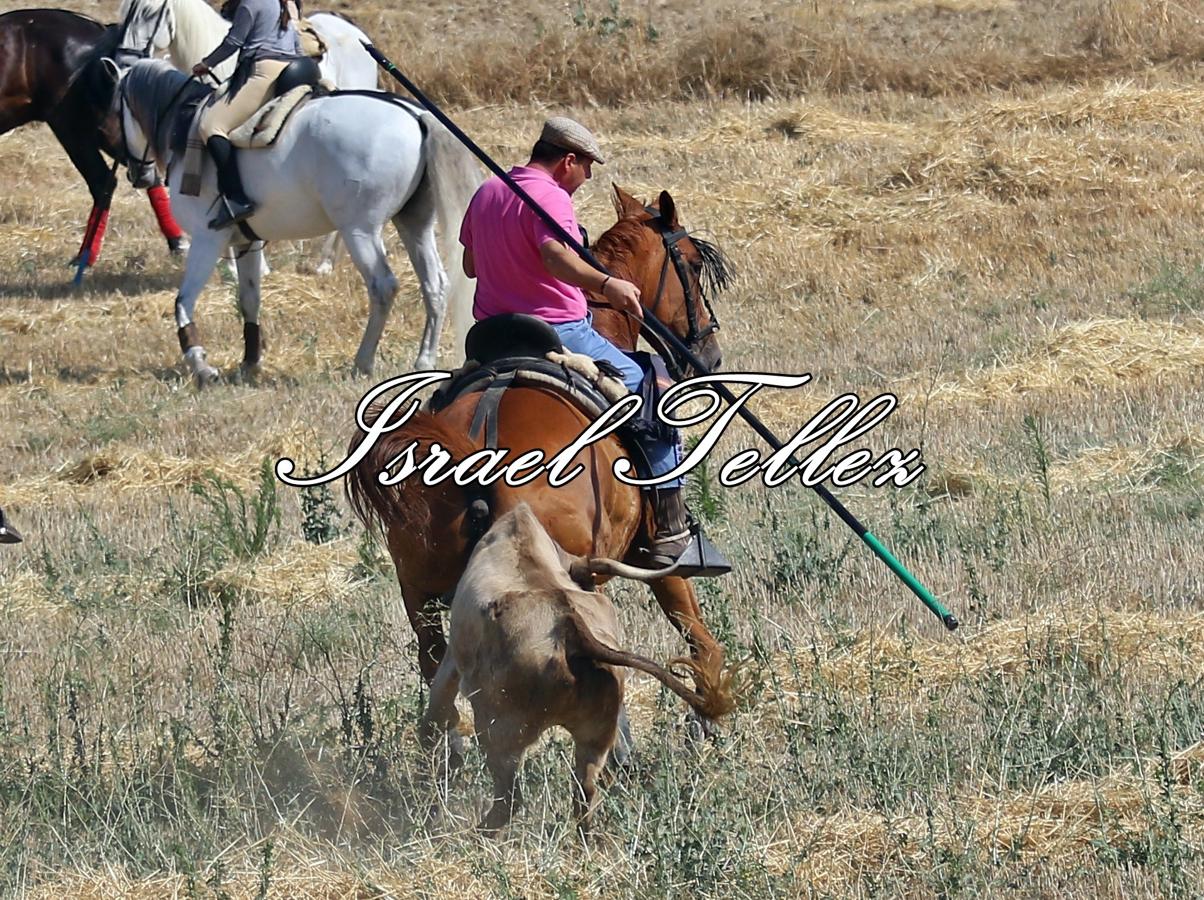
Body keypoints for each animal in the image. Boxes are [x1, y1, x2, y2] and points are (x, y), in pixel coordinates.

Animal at [105, 57, 476, 387]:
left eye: (115, 113)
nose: (137, 175)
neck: (185, 130)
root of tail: (415, 114)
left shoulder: (206, 240)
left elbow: (183, 301)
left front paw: (201, 366)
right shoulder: (247, 241)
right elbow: (249, 300)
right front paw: (249, 363)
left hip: (360, 230)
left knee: (383, 286)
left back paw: (362, 361)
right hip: (414, 224)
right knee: (435, 284)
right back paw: (423, 360)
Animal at [349, 184, 736, 721]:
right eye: (694, 265)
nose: (709, 356)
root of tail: (477, 456)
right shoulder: (654, 560)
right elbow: (697, 634)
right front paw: (711, 708)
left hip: (423, 602)